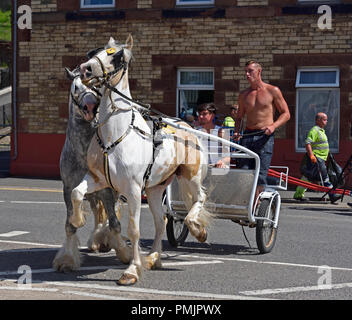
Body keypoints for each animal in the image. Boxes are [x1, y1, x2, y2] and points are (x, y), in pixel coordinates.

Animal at [72, 35, 212, 284]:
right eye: (94, 52)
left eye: (117, 57)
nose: (85, 68)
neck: (115, 134)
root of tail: (188, 127)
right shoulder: (97, 179)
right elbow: (76, 193)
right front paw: (77, 220)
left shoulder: (134, 190)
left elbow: (134, 230)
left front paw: (131, 270)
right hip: (155, 189)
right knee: (161, 221)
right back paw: (154, 257)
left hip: (190, 177)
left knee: (198, 200)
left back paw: (198, 230)